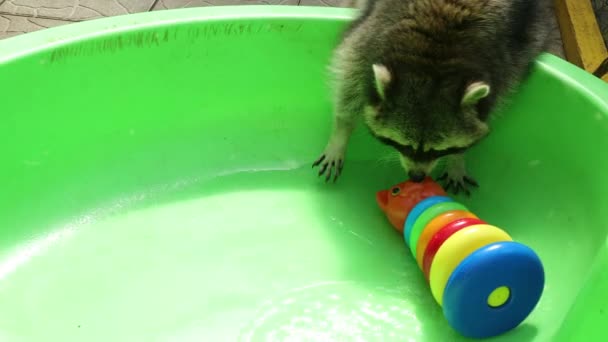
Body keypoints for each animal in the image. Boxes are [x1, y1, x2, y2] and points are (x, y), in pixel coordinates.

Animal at [314, 0, 556, 194]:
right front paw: (341, 133)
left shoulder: (506, 62)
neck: (435, 63)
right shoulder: (370, 38)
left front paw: (457, 159)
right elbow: (348, 76)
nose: (417, 177)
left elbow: (490, 108)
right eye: (404, 145)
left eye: (441, 149)